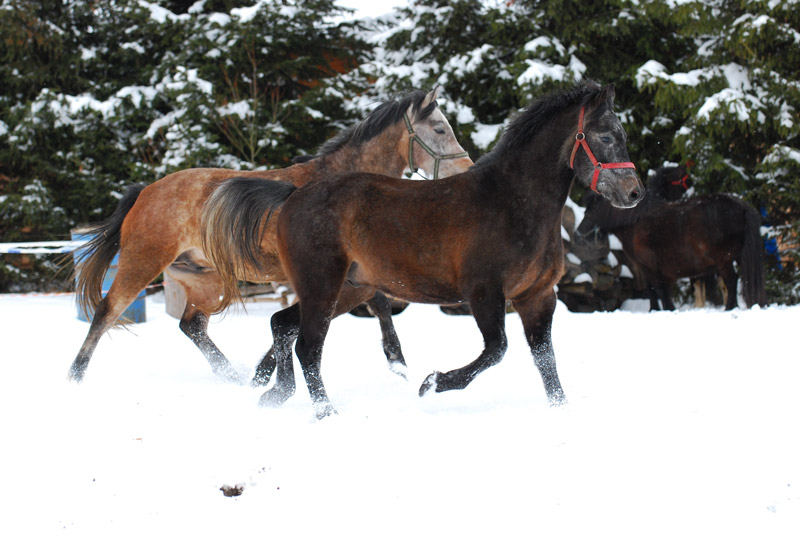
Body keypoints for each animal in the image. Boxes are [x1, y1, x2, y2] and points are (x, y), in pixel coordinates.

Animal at [205, 81, 644, 416]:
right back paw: (325, 412)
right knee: (308, 347)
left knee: (282, 325)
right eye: (605, 137)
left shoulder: (537, 295)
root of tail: (292, 195)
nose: (634, 193)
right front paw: (432, 383)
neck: (512, 202)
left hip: (345, 289)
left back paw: (274, 394)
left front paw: (560, 410)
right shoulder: (483, 291)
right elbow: (497, 349)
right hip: (323, 286)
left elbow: (545, 360)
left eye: (622, 137)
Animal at [576, 165, 768, 312]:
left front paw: (668, 309)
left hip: (724, 261)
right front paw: (654, 310)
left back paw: (729, 308)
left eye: (591, 209)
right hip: (738, 257)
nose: (579, 234)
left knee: (732, 281)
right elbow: (653, 291)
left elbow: (658, 290)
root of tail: (741, 206)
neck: (635, 221)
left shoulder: (650, 268)